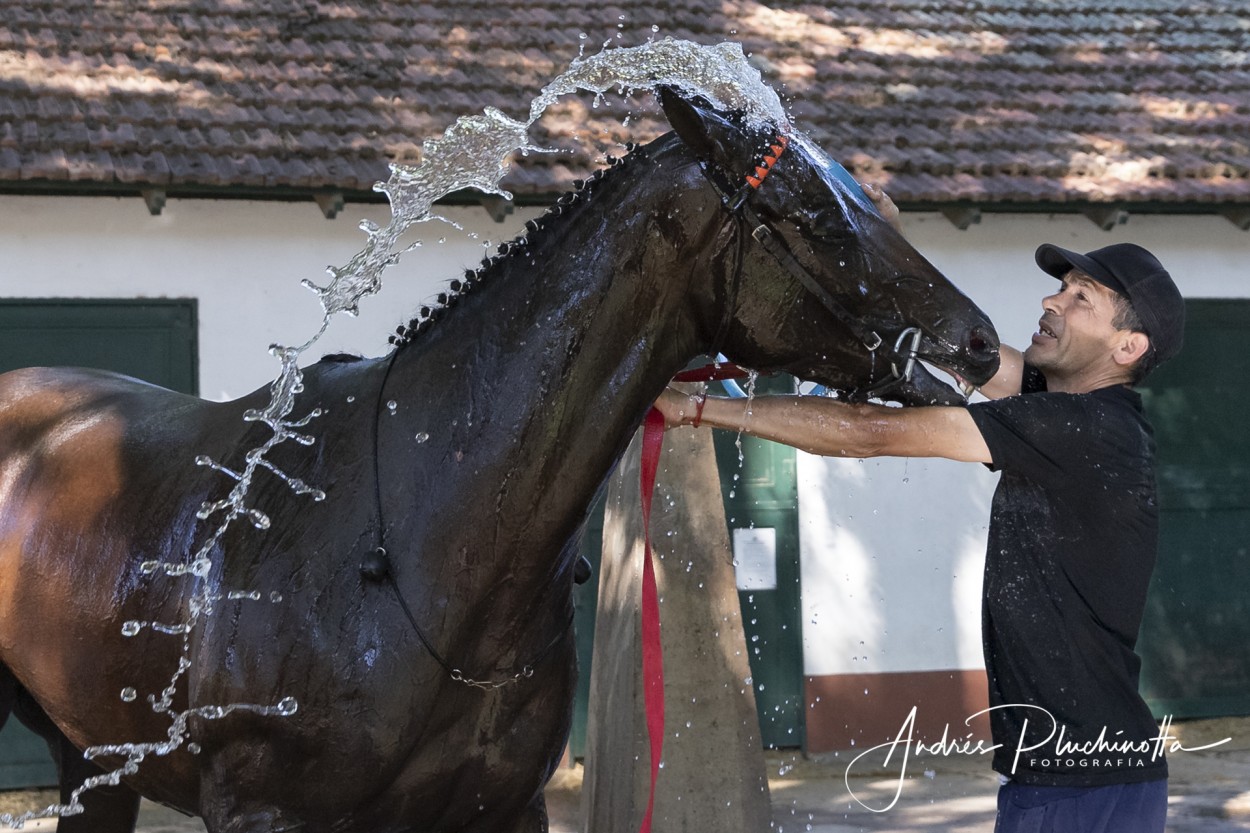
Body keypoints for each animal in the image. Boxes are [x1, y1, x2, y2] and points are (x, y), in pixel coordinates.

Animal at [0, 87, 1000, 825]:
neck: (415, 530)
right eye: (816, 218)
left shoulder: (501, 810)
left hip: (90, 761)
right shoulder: (262, 812)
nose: (980, 345)